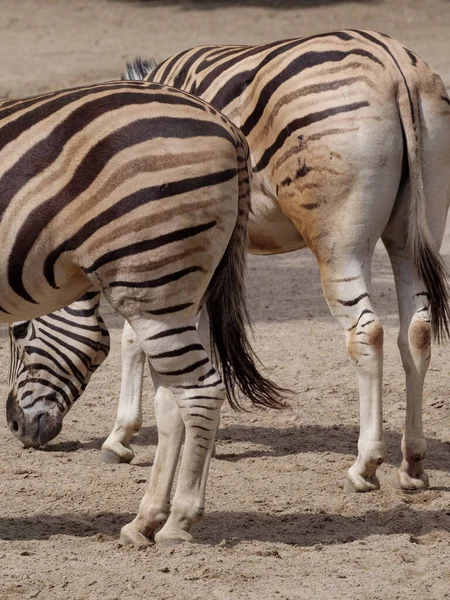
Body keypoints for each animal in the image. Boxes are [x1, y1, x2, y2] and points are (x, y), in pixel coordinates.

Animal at [2, 81, 284, 548]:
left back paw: (178, 521)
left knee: (199, 393)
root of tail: (226, 124)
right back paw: (145, 519)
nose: (16, 426)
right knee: (172, 401)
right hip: (179, 293)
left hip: (153, 284)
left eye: (22, 330)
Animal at [6, 30, 450, 494]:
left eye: (18, 332)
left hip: (339, 242)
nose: (16, 427)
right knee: (416, 332)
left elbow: (132, 341)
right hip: (414, 230)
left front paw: (120, 438)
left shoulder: (149, 250)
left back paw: (365, 465)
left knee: (367, 333)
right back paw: (413, 465)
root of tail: (391, 61)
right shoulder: (196, 258)